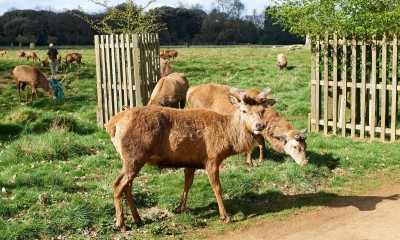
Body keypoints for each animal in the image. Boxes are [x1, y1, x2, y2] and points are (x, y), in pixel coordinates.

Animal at [106, 87, 276, 231]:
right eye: (244, 110)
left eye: (262, 110)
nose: (259, 126)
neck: (227, 139)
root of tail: (112, 125)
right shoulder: (211, 158)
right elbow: (217, 187)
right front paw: (225, 216)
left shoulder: (192, 161)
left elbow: (187, 183)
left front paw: (180, 208)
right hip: (135, 155)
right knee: (117, 184)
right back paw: (121, 224)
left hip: (128, 159)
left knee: (127, 185)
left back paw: (138, 220)